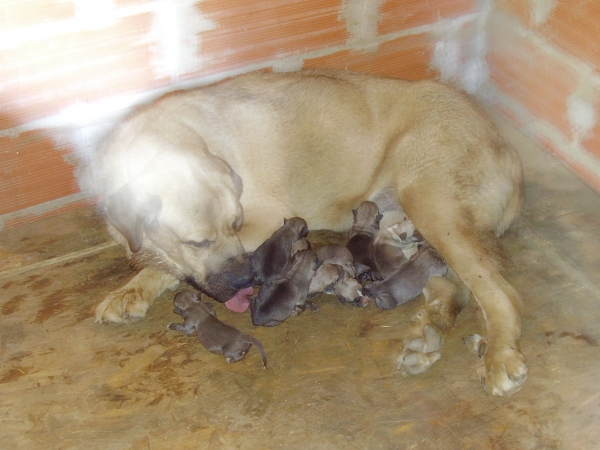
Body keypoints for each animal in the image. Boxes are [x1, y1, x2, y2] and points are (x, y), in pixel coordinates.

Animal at [92, 68, 524, 396]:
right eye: (196, 241)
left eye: (235, 225)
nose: (246, 280)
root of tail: (507, 147)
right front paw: (131, 289)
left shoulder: (266, 220)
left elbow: (166, 265)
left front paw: (139, 282)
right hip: (411, 233)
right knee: (450, 286)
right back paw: (427, 336)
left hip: (432, 203)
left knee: (500, 290)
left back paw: (500, 355)